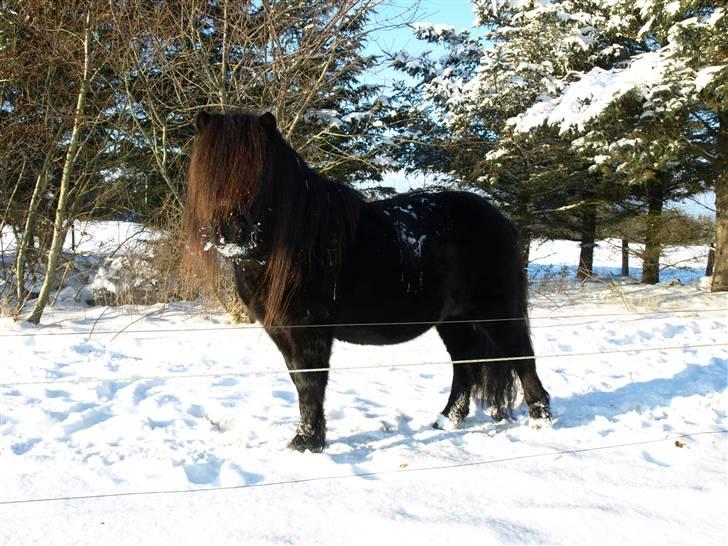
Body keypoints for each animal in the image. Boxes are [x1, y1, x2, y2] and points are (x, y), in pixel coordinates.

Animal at [183, 109, 552, 450]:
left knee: (522, 358)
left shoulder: (309, 331)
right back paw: (447, 419)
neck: (296, 243)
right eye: (209, 171)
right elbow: (299, 381)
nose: (232, 232)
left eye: (262, 172)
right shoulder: (282, 331)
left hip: (498, 314)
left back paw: (541, 420)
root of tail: (500, 219)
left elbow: (310, 383)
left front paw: (308, 442)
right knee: (465, 365)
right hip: (454, 321)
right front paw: (308, 438)